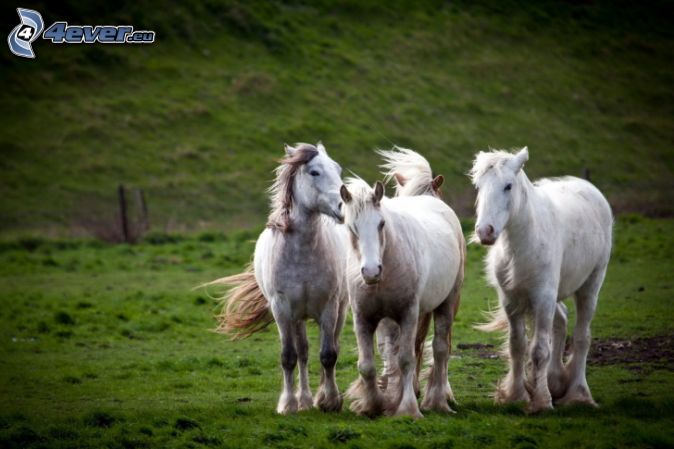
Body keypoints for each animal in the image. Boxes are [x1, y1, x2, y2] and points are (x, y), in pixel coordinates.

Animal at [470, 148, 612, 412]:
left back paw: (578, 393)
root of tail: (587, 187)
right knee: (562, 321)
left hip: (590, 287)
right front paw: (517, 395)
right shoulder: (511, 301)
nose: (485, 231)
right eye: (478, 186)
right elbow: (517, 346)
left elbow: (539, 351)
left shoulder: (543, 297)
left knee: (582, 337)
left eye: (508, 186)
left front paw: (542, 401)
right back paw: (556, 381)